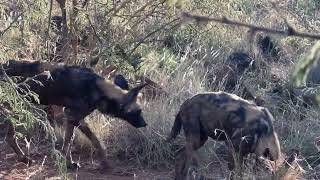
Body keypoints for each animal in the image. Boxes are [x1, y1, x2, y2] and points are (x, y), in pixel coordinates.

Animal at [0, 59, 147, 171]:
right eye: (138, 111)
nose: (144, 124)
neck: (98, 89)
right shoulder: (72, 116)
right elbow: (68, 143)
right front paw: (69, 163)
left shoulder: (77, 118)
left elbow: (95, 140)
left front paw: (105, 163)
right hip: (15, 109)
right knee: (10, 136)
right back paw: (24, 158)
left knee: (9, 137)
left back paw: (24, 158)